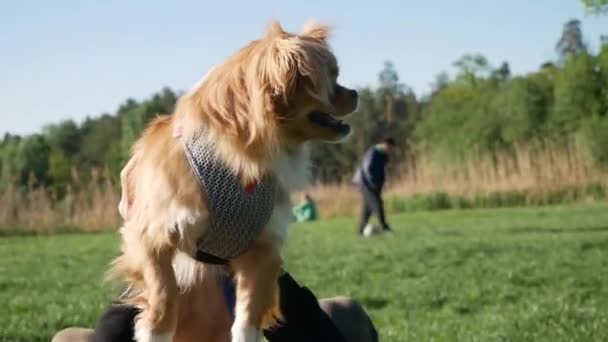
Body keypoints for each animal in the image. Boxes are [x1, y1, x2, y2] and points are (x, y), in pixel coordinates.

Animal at [110, 20, 358, 342]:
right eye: (332, 77)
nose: (355, 93)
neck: (242, 160)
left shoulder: (261, 249)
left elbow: (247, 317)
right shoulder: (150, 236)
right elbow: (164, 293)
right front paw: (155, 330)